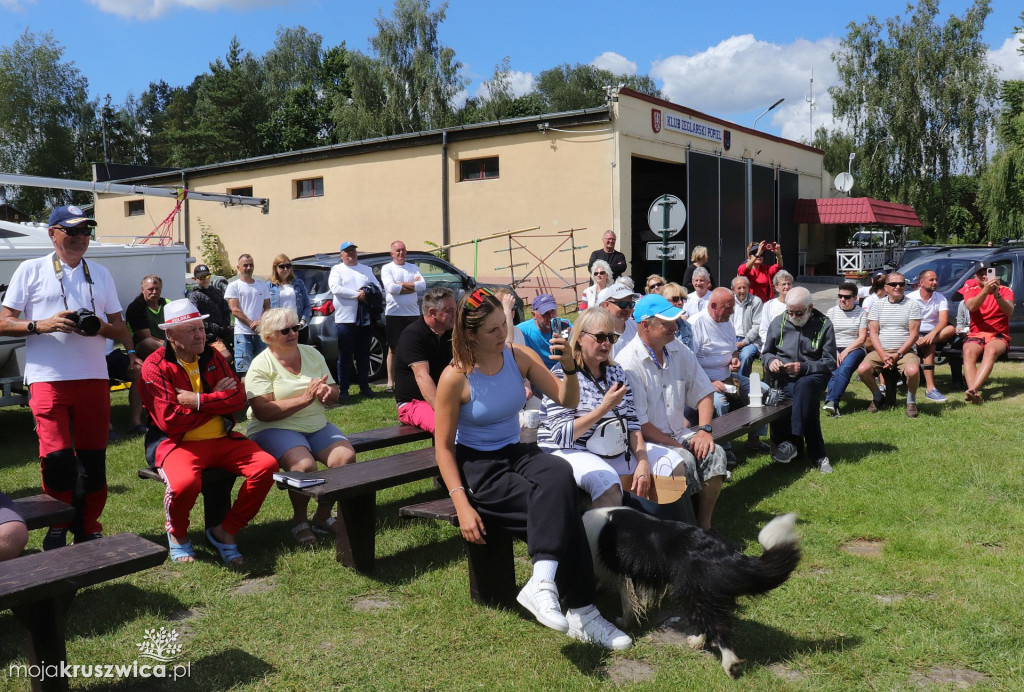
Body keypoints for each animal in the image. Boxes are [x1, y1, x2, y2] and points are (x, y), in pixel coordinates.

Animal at [585, 507, 798, 675]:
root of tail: (724, 552)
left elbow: (627, 601)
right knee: (708, 620)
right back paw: (696, 642)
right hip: (702, 594)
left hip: (692, 592)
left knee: (716, 626)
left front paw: (624, 622)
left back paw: (729, 663)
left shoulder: (621, 574)